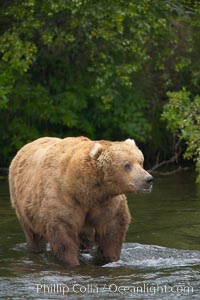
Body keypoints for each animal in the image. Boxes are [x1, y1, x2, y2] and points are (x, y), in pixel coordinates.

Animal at [8, 136, 153, 264]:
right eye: (127, 164)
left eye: (141, 161)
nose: (148, 179)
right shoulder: (64, 199)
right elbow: (64, 236)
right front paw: (72, 261)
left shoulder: (106, 202)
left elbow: (112, 232)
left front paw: (110, 258)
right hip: (24, 208)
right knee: (33, 236)